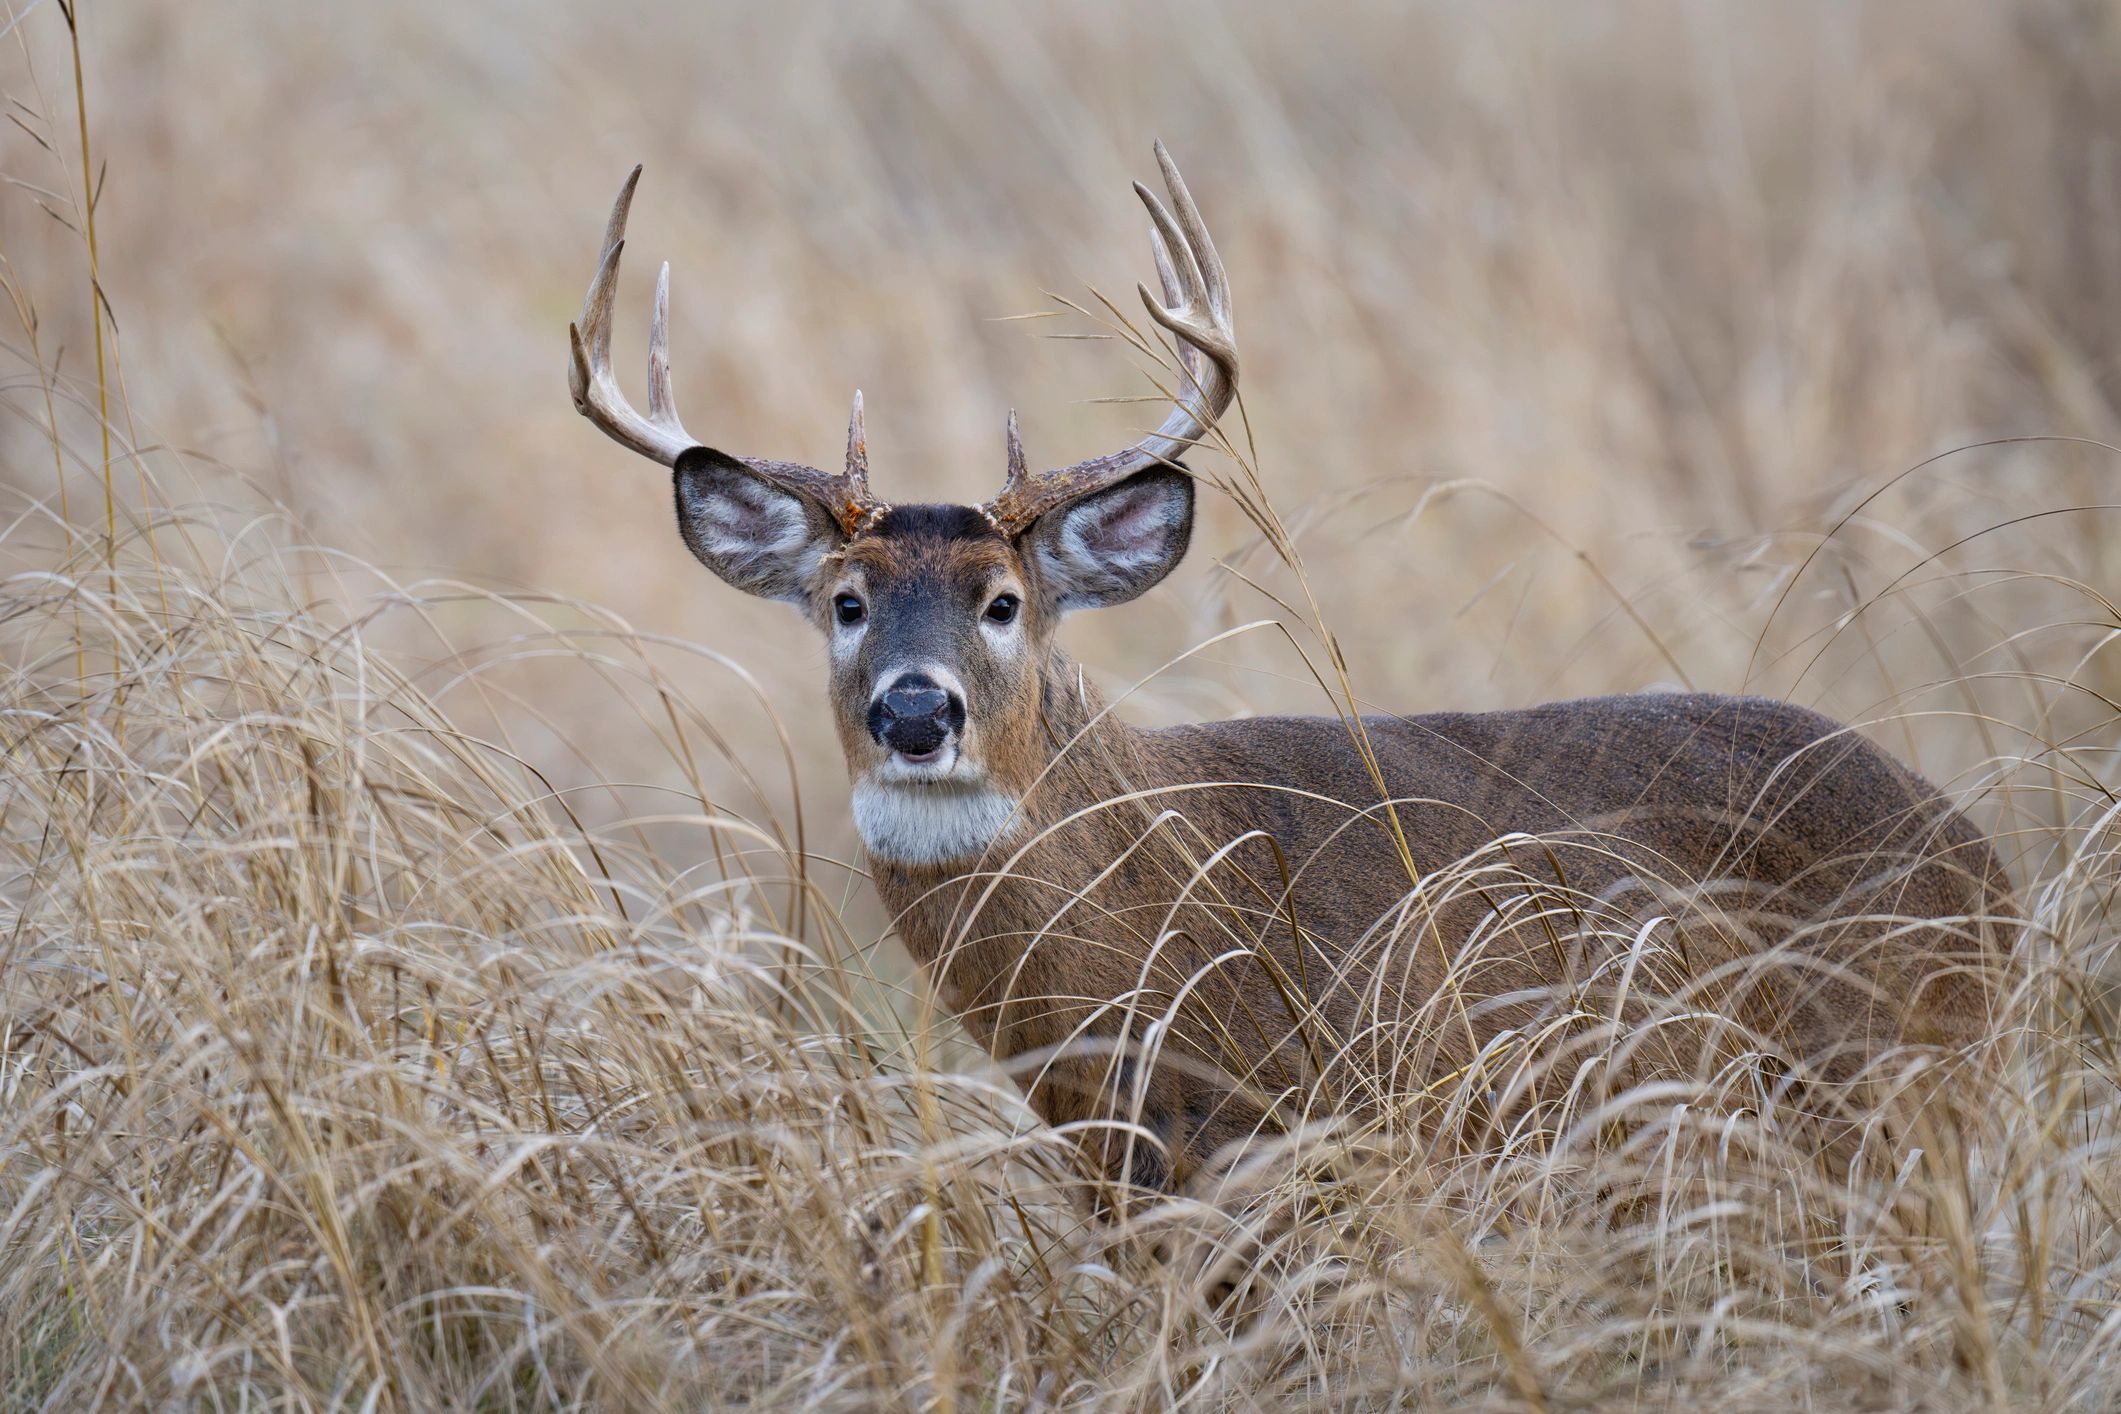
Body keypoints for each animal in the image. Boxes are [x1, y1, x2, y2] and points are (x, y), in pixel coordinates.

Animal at [566, 147, 2013, 1195]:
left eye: (1004, 602)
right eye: (845, 602)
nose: (915, 710)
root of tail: (1990, 872)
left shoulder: (1332, 1119)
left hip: (1891, 1089)